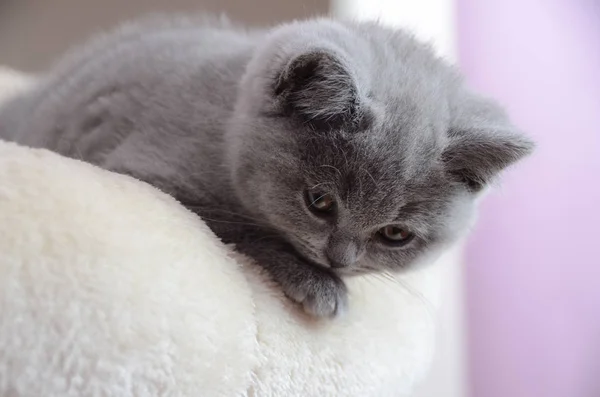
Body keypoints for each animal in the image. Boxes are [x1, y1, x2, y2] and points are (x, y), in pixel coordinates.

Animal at [0, 15, 536, 318]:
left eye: (395, 235)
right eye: (319, 202)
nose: (338, 259)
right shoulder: (149, 175)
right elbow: (245, 229)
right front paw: (318, 285)